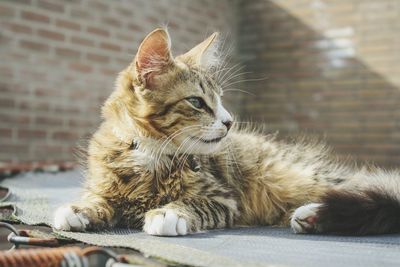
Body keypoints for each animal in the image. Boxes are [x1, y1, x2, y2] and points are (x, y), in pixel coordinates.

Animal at [54, 27, 400, 237]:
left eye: (220, 99)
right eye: (197, 101)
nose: (229, 121)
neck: (151, 154)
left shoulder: (223, 198)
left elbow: (192, 203)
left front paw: (167, 214)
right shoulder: (104, 184)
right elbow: (97, 197)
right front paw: (78, 208)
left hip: (295, 174)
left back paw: (313, 212)